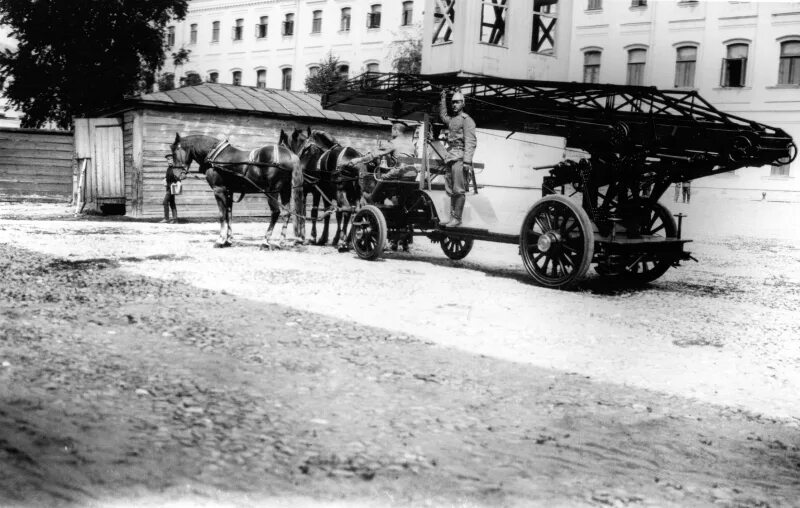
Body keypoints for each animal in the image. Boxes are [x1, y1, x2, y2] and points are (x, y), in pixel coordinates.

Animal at [170, 133, 306, 248]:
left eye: (175, 152)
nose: (176, 175)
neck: (214, 155)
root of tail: (290, 155)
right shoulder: (229, 191)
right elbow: (229, 214)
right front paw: (228, 240)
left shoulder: (219, 190)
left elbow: (222, 215)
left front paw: (220, 240)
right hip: (285, 191)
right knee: (286, 213)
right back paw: (280, 242)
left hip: (272, 192)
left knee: (276, 212)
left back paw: (265, 241)